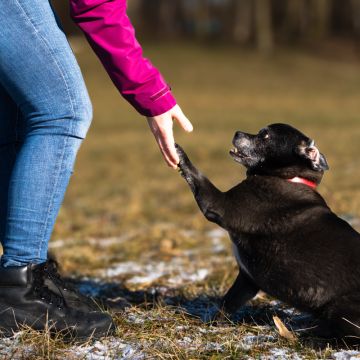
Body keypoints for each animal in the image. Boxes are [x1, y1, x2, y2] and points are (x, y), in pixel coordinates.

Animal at [176, 124, 360, 344]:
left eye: (265, 136)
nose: (237, 133)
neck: (286, 177)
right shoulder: (247, 279)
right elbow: (227, 303)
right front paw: (211, 325)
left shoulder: (218, 204)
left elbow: (198, 176)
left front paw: (178, 152)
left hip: (339, 309)